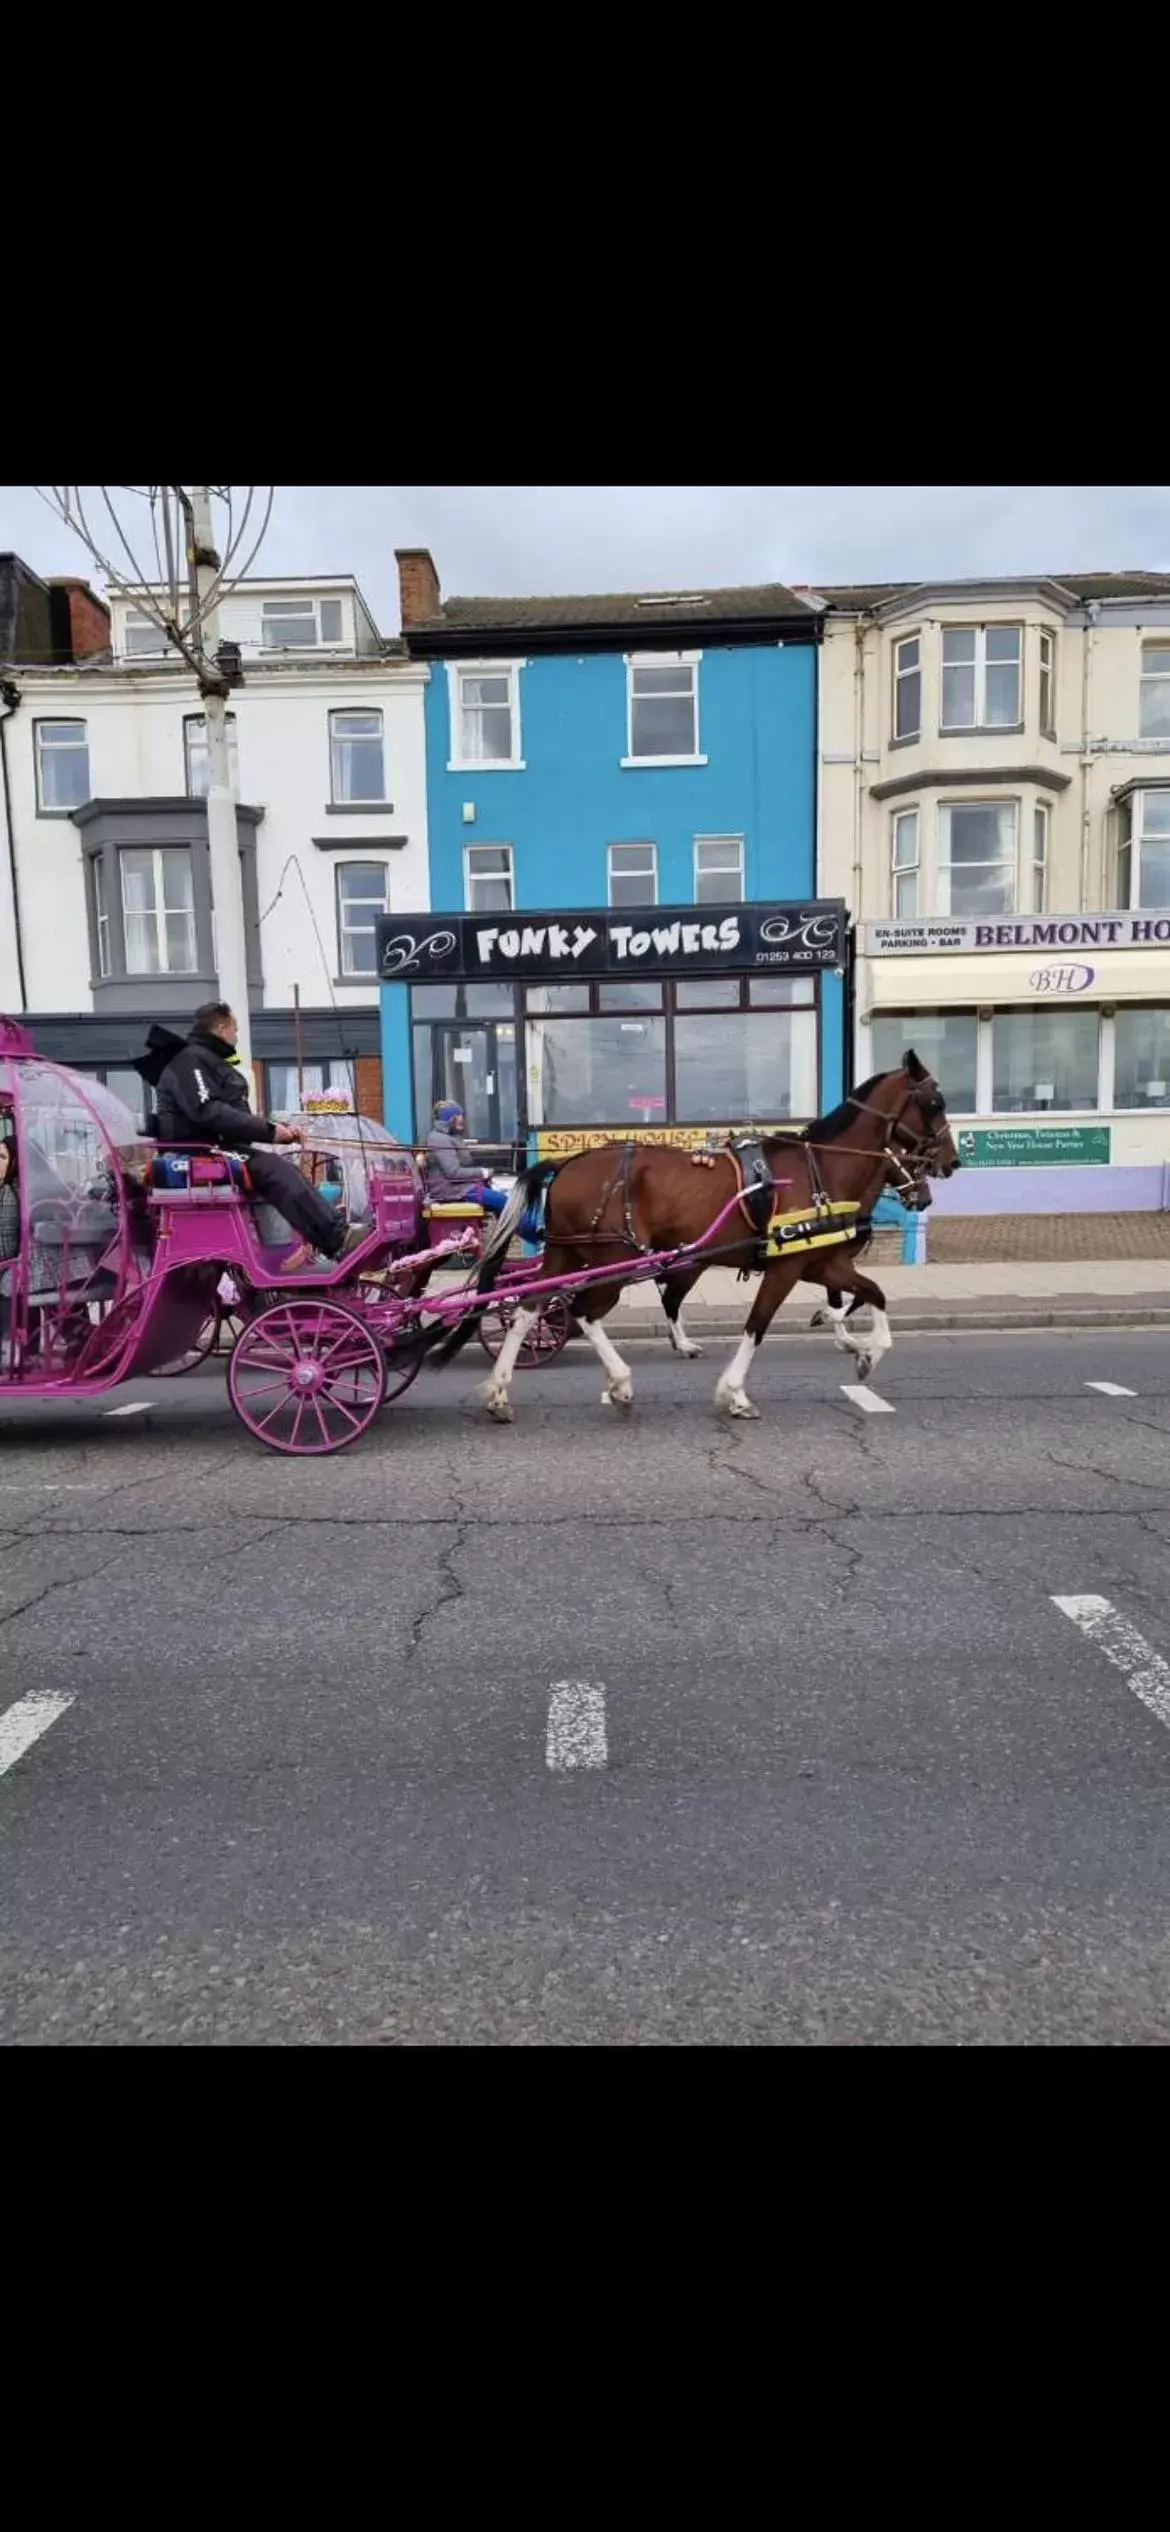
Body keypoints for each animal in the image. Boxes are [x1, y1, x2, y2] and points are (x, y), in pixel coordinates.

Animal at [433, 1058, 957, 1428]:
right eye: (935, 1103)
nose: (950, 1163)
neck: (820, 1169)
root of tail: (567, 1164)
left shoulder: (820, 1263)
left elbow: (872, 1294)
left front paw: (866, 1352)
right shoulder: (786, 1269)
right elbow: (757, 1327)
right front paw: (736, 1394)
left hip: (567, 1251)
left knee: (528, 1308)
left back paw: (501, 1392)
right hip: (614, 1258)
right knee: (583, 1312)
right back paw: (620, 1383)